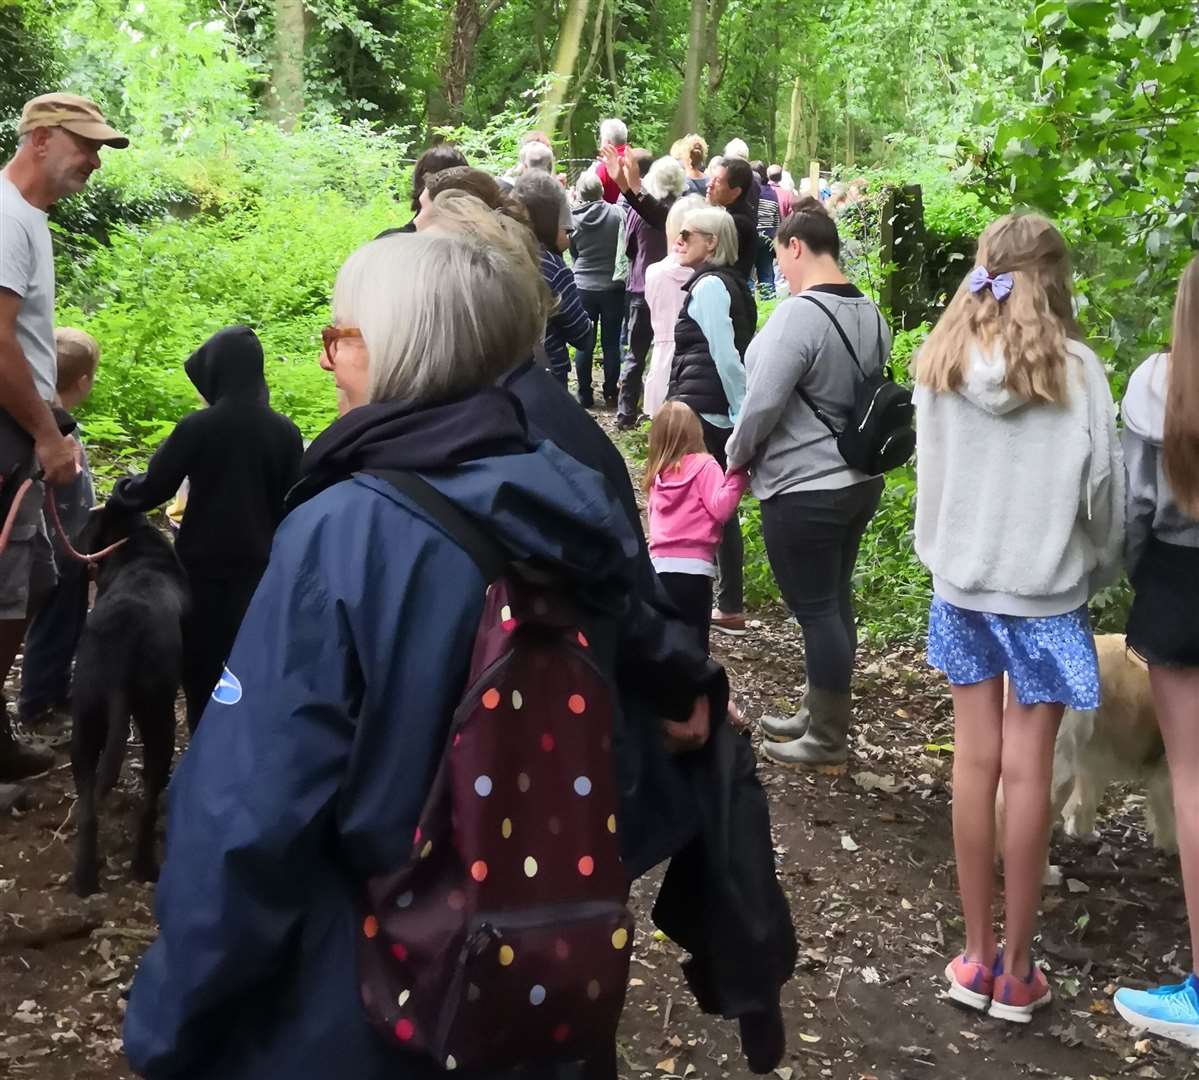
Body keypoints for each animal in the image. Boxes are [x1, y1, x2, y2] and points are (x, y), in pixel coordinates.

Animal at [71, 501, 187, 896]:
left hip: (86, 721)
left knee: (88, 809)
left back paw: (84, 878)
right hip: (160, 720)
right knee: (149, 804)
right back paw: (145, 867)